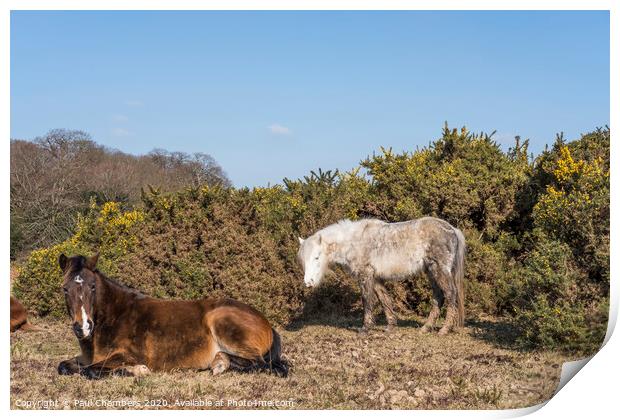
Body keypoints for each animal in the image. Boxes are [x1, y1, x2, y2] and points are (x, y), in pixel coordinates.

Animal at [57, 253, 286, 380]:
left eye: (92, 286)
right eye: (65, 289)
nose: (83, 327)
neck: (115, 316)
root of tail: (265, 322)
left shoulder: (125, 356)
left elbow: (91, 371)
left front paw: (139, 370)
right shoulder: (85, 358)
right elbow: (64, 366)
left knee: (262, 364)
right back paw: (219, 363)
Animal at [296, 217, 464, 334]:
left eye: (317, 257)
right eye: (303, 260)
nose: (308, 282)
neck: (354, 241)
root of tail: (452, 229)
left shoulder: (365, 275)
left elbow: (366, 300)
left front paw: (365, 329)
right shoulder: (376, 278)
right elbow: (384, 299)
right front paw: (390, 326)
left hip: (439, 270)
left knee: (450, 294)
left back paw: (444, 329)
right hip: (431, 271)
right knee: (438, 297)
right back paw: (426, 328)